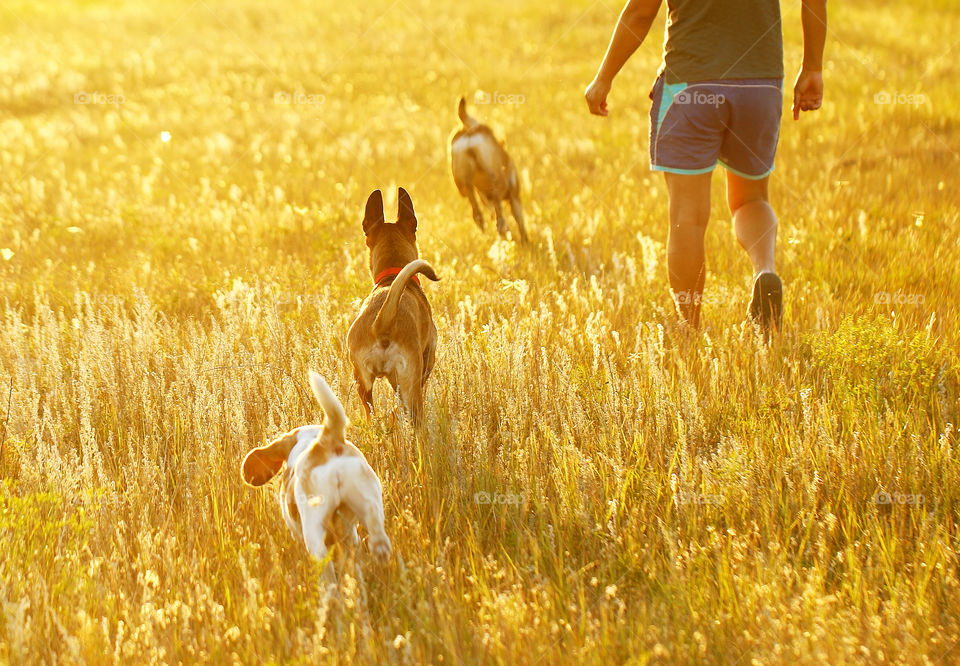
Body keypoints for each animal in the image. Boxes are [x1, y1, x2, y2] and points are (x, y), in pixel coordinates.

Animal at [346, 187, 440, 422]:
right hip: (408, 384)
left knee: (371, 415)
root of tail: (382, 323)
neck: (393, 277)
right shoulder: (427, 363)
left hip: (362, 382)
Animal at [448, 97, 528, 243]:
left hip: (465, 187)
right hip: (496, 185)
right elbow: (521, 224)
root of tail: (469, 129)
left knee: (478, 217)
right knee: (501, 223)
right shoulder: (514, 198)